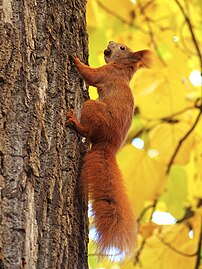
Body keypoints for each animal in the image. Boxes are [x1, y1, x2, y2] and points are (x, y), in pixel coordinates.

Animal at [66, 40, 152, 256]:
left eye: (122, 48)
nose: (111, 42)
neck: (122, 69)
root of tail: (108, 145)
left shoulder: (106, 73)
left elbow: (90, 75)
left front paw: (76, 60)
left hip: (92, 108)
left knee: (87, 130)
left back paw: (75, 123)